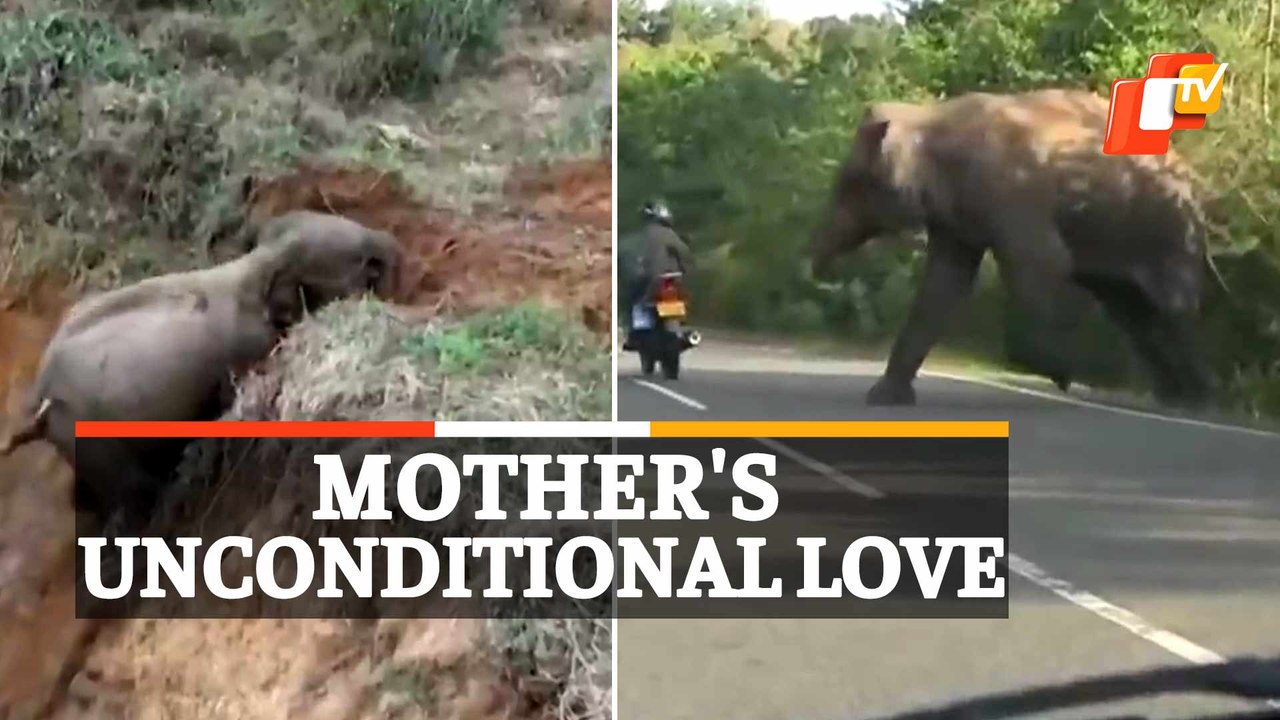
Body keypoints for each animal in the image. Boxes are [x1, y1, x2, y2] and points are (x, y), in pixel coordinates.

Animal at [0, 210, 402, 527]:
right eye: (354, 259)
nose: (391, 246)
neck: (257, 264)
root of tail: (37, 404)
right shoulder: (243, 348)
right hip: (90, 436)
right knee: (133, 494)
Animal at [810, 89, 1213, 408]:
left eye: (849, 184)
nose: (816, 270)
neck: (930, 117)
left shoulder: (1014, 193)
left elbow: (1044, 264)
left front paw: (1063, 376)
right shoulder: (959, 216)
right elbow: (944, 284)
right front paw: (884, 398)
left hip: (1170, 229)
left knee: (1169, 309)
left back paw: (1194, 400)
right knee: (1133, 314)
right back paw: (1173, 396)